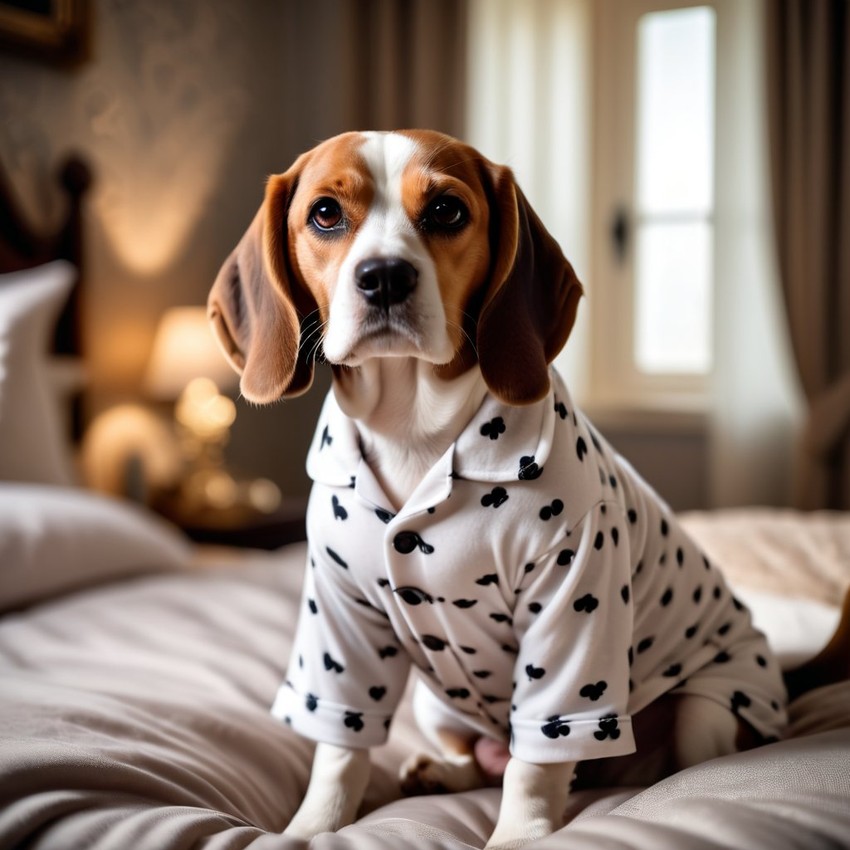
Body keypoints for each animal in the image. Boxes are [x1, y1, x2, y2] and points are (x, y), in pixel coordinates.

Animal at [209, 129, 784, 844]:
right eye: (324, 214)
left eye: (446, 211)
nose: (384, 276)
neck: (412, 430)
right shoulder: (339, 612)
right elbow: (339, 749)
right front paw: (313, 827)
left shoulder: (573, 598)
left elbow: (535, 763)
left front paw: (520, 835)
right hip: (437, 707)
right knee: (482, 759)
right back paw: (439, 773)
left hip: (709, 704)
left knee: (653, 759)